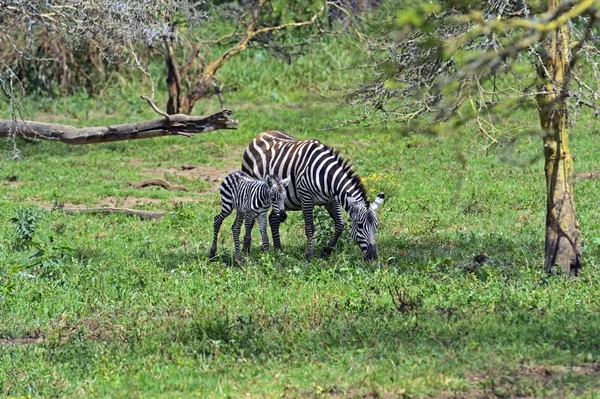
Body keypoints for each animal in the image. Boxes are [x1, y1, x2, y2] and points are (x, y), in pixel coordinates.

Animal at [243, 131, 386, 260]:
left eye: (376, 226)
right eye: (360, 226)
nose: (373, 257)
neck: (326, 176)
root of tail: (260, 134)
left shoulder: (332, 199)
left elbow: (340, 225)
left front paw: (326, 251)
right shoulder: (306, 198)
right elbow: (310, 228)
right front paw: (310, 256)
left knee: (273, 219)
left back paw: (279, 250)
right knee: (251, 219)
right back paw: (247, 250)